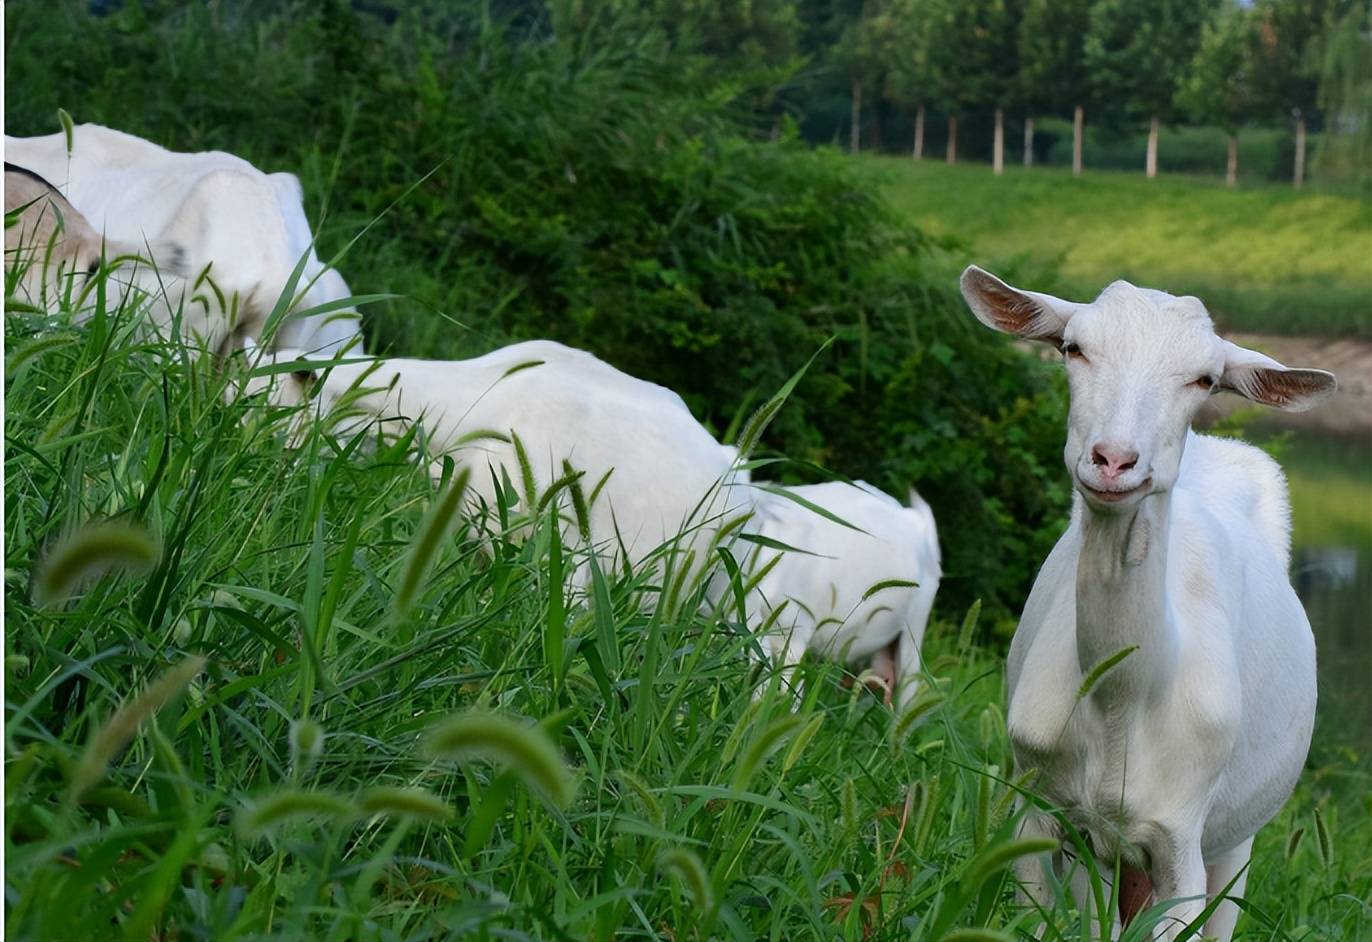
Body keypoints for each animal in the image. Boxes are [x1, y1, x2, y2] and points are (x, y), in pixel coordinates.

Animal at [960, 266, 1333, 942]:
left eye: (1205, 378)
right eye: (1071, 347)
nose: (1114, 460)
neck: (1123, 699)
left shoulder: (1181, 833)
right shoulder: (1041, 806)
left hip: (1237, 839)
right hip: (1104, 855)